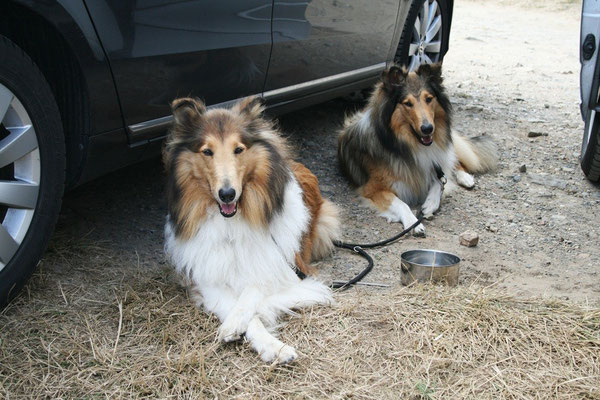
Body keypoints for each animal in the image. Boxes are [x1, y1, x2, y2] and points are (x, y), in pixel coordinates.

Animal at [163, 96, 342, 362]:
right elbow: (241, 311)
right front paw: (267, 343)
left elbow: (253, 290)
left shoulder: (284, 266)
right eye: (207, 151)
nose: (227, 194)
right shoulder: (208, 280)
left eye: (238, 149)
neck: (232, 224)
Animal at [338, 62, 496, 234]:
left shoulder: (434, 162)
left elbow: (440, 181)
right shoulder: (373, 188)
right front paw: (413, 222)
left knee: (454, 161)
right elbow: (401, 203)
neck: (410, 144)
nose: (428, 129)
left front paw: (429, 205)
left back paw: (465, 177)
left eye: (429, 99)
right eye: (407, 103)